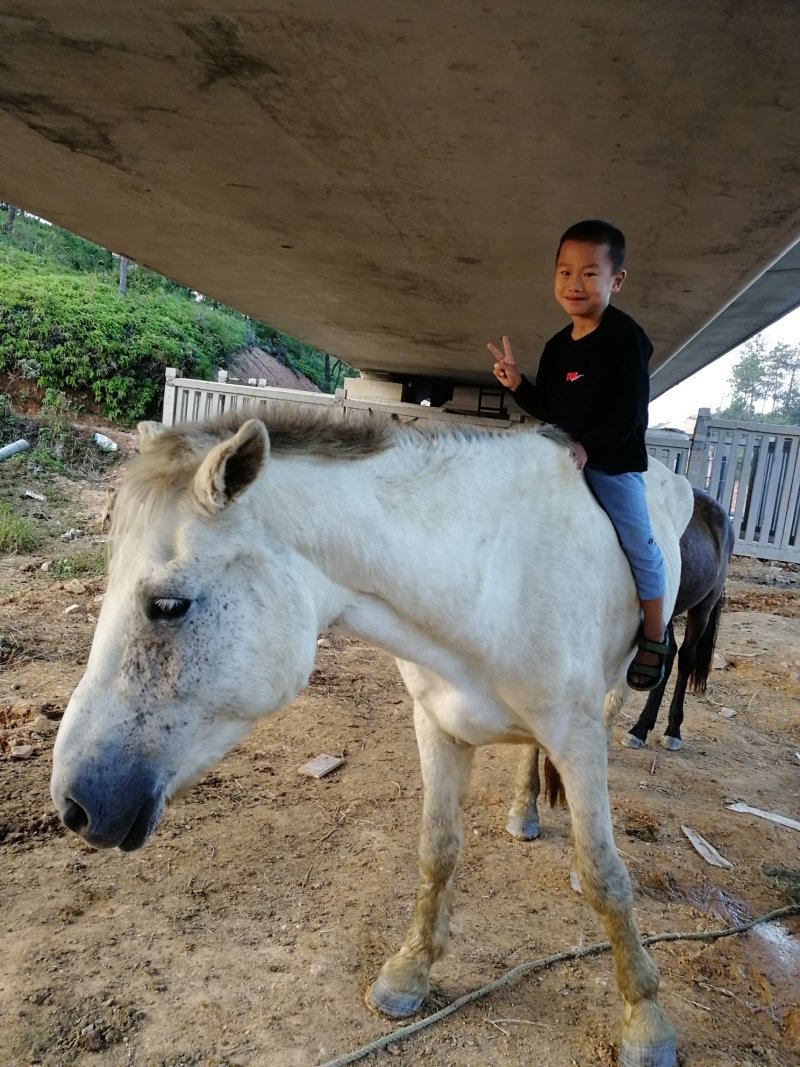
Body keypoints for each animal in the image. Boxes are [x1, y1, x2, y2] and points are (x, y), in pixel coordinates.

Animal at [50, 409, 694, 1067]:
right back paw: (525, 811)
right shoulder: (437, 725)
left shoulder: (576, 735)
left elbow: (605, 876)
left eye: (169, 605)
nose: (74, 805)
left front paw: (645, 1019)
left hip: (615, 687)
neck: (487, 576)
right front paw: (409, 973)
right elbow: (438, 850)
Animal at [505, 488, 734, 842]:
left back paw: (672, 731)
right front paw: (524, 810)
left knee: (684, 660)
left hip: (703, 607)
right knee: (667, 658)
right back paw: (639, 730)